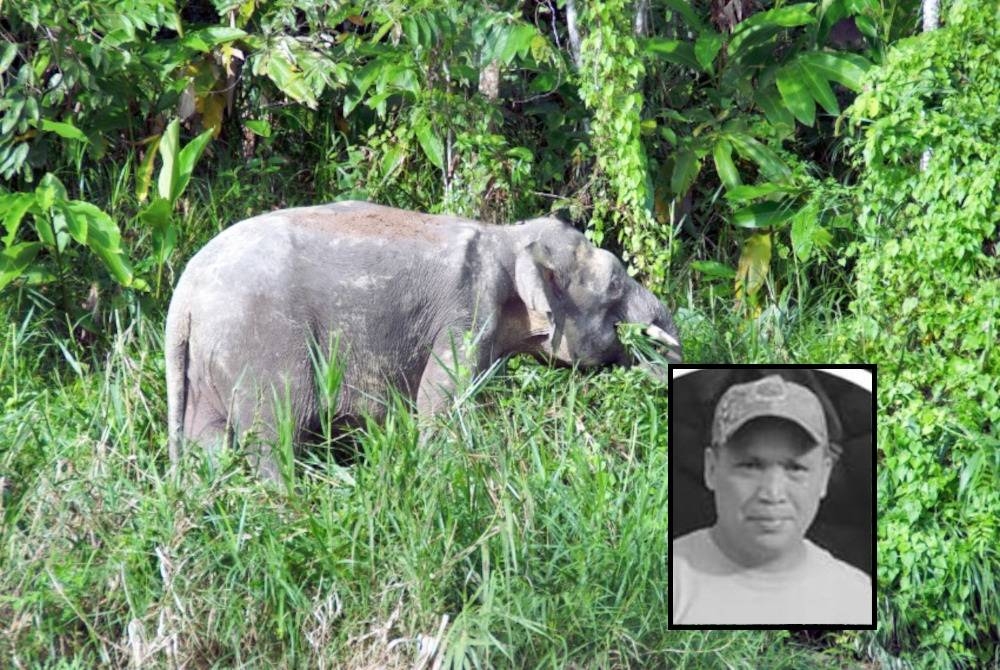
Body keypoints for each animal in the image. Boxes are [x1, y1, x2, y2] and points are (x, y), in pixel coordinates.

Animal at [166, 200, 680, 478]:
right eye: (614, 283)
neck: (508, 238)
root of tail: (182, 298)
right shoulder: (467, 310)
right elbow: (440, 406)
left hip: (208, 363)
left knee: (206, 444)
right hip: (263, 345)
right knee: (276, 436)